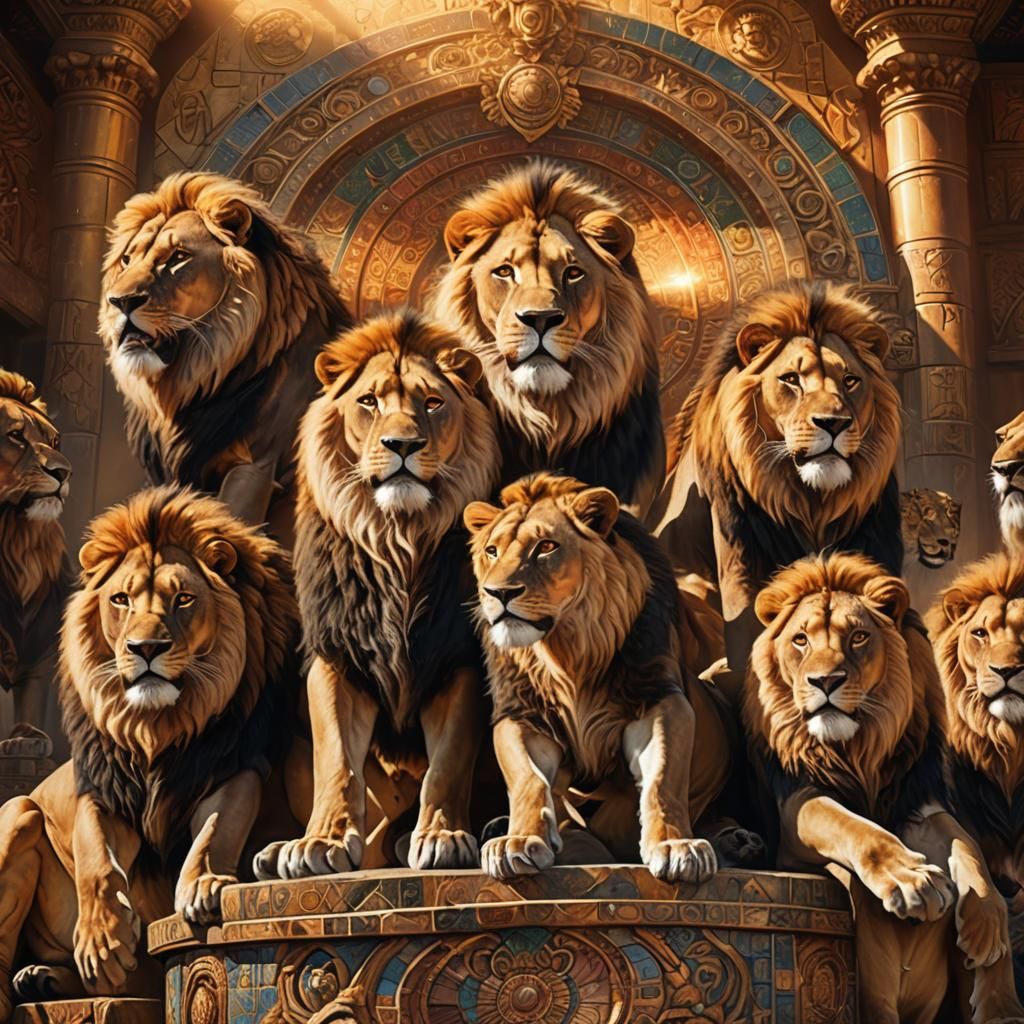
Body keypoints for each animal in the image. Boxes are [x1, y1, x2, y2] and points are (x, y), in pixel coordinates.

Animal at [0, 485, 299, 1017]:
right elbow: (96, 856)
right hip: (17, 809)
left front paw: (202, 882)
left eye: (183, 599)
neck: (156, 727)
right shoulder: (102, 786)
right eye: (120, 599)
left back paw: (44, 979)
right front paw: (103, 939)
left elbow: (218, 827)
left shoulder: (235, 767)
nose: (144, 648)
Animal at [254, 310, 500, 881]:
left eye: (432, 403)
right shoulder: (336, 654)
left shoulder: (458, 658)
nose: (402, 445)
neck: (398, 538)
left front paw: (442, 836)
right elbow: (337, 761)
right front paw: (319, 842)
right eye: (368, 402)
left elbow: (449, 761)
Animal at [463, 472, 745, 883]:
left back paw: (738, 841)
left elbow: (664, 778)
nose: (498, 593)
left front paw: (677, 846)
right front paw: (517, 841)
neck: (569, 654)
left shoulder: (659, 699)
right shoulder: (522, 715)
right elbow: (527, 778)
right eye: (492, 551)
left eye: (546, 547)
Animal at [654, 281, 902, 700]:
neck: (811, 501)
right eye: (791, 379)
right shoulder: (738, 546)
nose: (833, 423)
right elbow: (746, 618)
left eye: (850, 380)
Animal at [745, 553, 1023, 1024]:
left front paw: (986, 932)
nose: (825, 682)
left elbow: (967, 848)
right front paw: (912, 883)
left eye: (858, 637)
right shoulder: (798, 807)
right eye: (800, 640)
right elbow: (855, 828)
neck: (860, 751)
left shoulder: (918, 805)